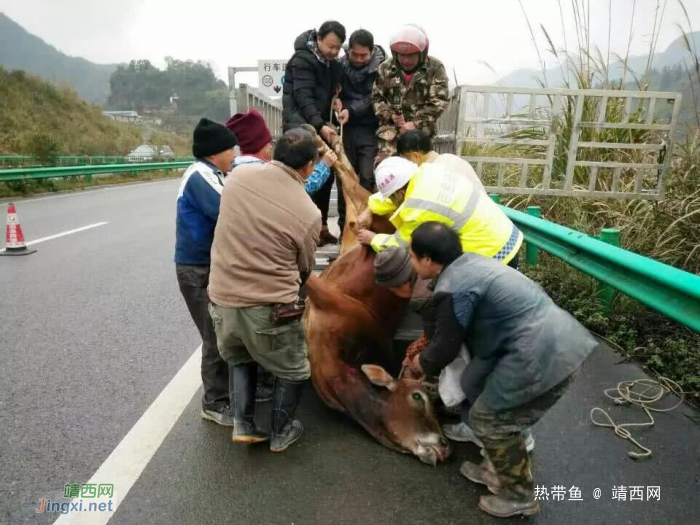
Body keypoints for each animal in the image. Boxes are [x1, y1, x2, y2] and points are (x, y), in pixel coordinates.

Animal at [300, 129, 448, 464]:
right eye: (418, 397)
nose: (445, 446)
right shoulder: (326, 301)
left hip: (360, 218)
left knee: (352, 182)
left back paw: (328, 142)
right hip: (369, 212)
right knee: (353, 186)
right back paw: (322, 139)